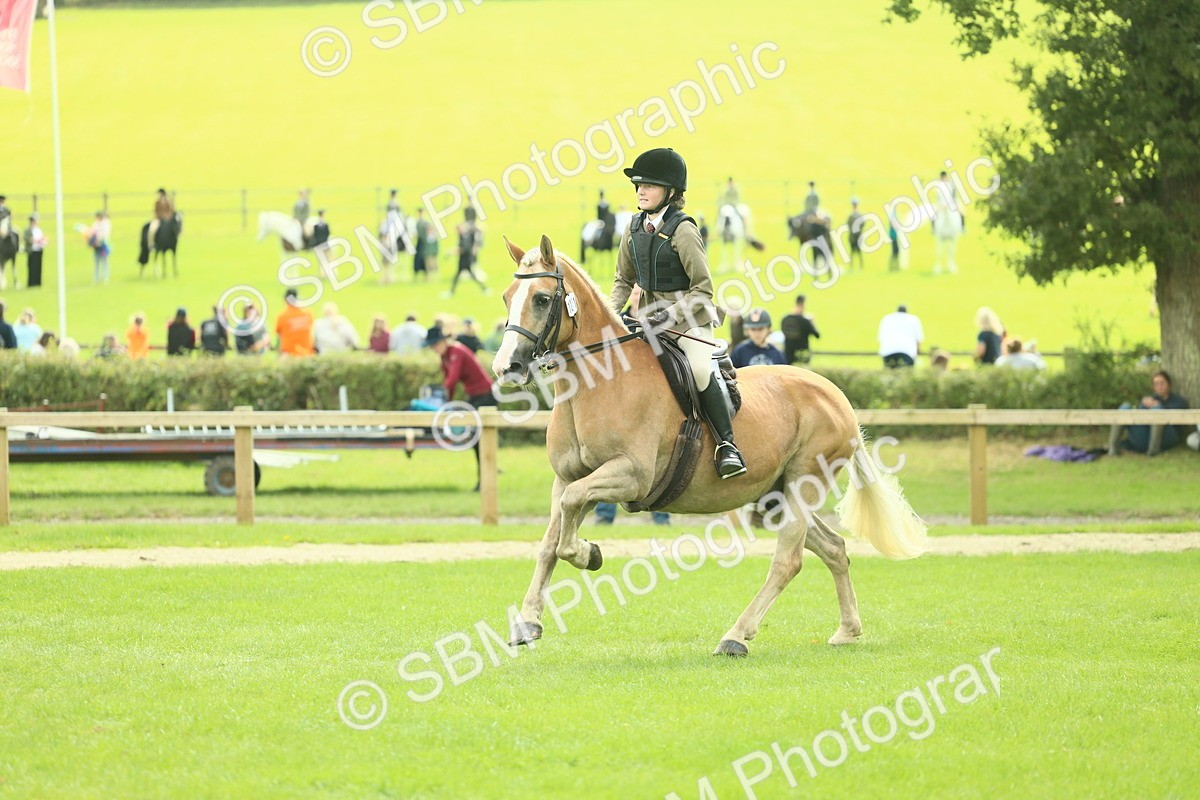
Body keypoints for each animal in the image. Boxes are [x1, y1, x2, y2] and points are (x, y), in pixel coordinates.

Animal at [492, 234, 928, 657]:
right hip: (777, 494)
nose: (506, 368)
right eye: (507, 296)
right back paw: (847, 631)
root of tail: (836, 395)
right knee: (833, 548)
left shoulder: (629, 476)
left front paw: (590, 554)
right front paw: (527, 623)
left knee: (787, 561)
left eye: (541, 299)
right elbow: (550, 543)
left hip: (805, 482)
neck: (599, 381)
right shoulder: (568, 479)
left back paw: (736, 637)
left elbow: (566, 533)